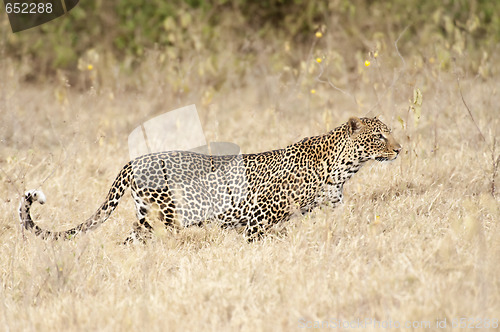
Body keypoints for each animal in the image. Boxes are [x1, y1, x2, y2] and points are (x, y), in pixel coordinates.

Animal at [19, 116, 400, 241]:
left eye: (389, 133)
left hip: (145, 215)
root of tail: (135, 159)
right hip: (171, 214)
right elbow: (255, 242)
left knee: (133, 237)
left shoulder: (331, 207)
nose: (400, 149)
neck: (343, 167)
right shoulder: (259, 215)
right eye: (379, 136)